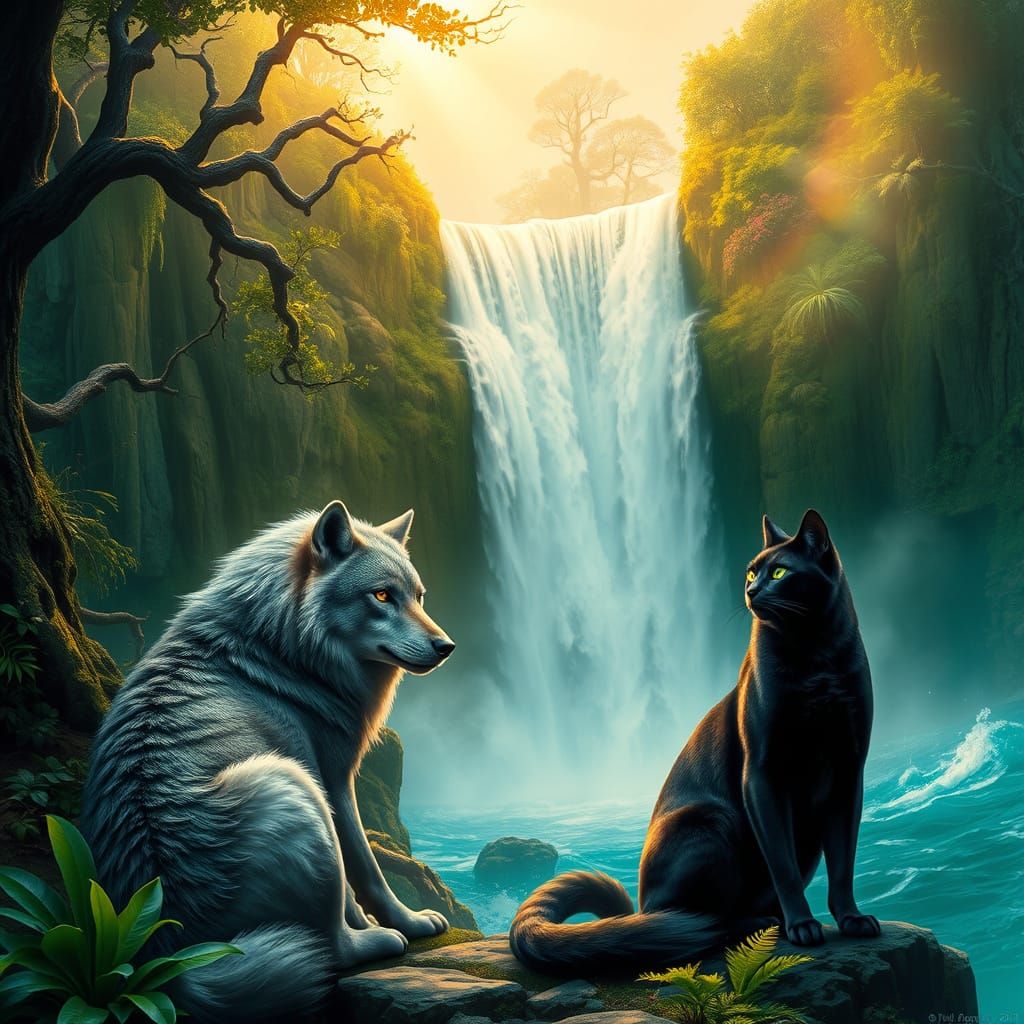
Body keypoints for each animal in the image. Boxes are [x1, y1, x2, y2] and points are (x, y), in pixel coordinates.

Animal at [80, 500, 456, 1022]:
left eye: (419, 597)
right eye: (382, 596)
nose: (446, 647)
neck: (281, 644)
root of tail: (171, 963)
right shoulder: (334, 781)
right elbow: (364, 869)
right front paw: (411, 921)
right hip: (290, 782)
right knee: (331, 945)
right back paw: (383, 939)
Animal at [510, 509, 880, 973]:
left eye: (779, 572)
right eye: (752, 572)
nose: (751, 590)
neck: (814, 653)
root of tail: (640, 908)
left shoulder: (849, 771)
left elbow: (844, 859)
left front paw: (852, 920)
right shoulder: (762, 773)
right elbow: (783, 864)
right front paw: (803, 927)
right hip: (712, 821)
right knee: (693, 916)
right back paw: (755, 924)